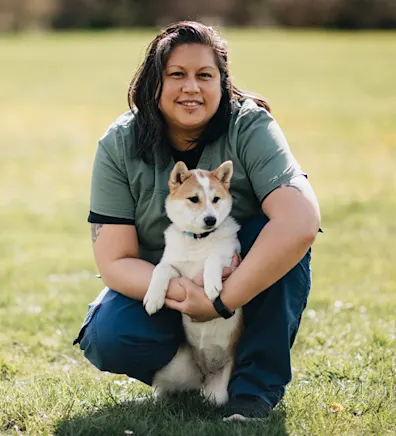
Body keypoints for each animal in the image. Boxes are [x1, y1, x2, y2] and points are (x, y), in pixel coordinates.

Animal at [142, 160, 241, 406]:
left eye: (216, 199)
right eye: (194, 199)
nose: (211, 220)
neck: (198, 241)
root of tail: (204, 376)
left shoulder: (233, 258)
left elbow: (214, 256)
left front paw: (212, 285)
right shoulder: (174, 266)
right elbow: (161, 268)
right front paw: (153, 298)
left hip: (219, 393)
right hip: (171, 370)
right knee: (162, 392)